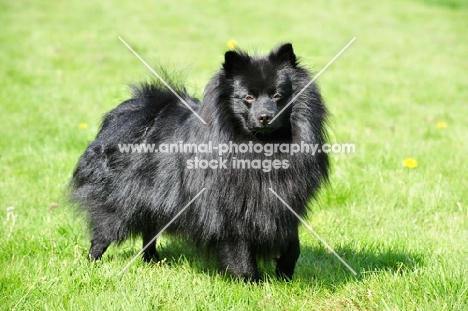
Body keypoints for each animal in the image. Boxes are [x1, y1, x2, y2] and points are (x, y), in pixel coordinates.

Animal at [71, 43, 330, 280]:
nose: (265, 116)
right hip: (120, 202)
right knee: (103, 234)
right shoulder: (229, 211)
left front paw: (284, 273)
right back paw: (92, 265)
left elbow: (293, 246)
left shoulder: (283, 204)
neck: (260, 146)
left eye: (277, 96)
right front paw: (250, 283)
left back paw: (153, 261)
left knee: (150, 232)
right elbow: (240, 252)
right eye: (248, 97)